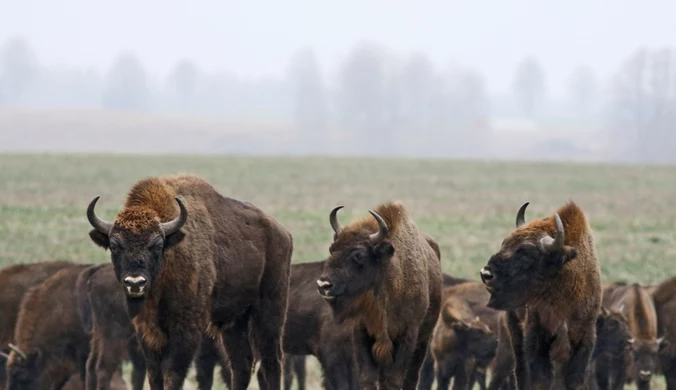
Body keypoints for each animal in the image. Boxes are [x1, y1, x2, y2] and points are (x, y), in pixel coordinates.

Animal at [85, 174, 294, 390]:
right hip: (234, 320)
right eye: (114, 246)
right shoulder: (146, 330)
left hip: (270, 309)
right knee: (241, 364)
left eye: (157, 245)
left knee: (272, 360)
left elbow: (173, 372)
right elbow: (154, 374)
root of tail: (283, 234)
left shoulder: (186, 328)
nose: (135, 283)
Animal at [316, 201, 444, 390]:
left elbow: (395, 379)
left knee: (412, 377)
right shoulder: (362, 333)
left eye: (359, 255)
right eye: (332, 249)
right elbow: (367, 377)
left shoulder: (407, 335)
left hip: (423, 340)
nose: (323, 285)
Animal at [480, 201, 604, 390]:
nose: (486, 274)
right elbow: (540, 380)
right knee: (520, 371)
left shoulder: (584, 337)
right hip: (515, 334)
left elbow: (574, 380)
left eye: (526, 253)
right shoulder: (537, 336)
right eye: (504, 243)